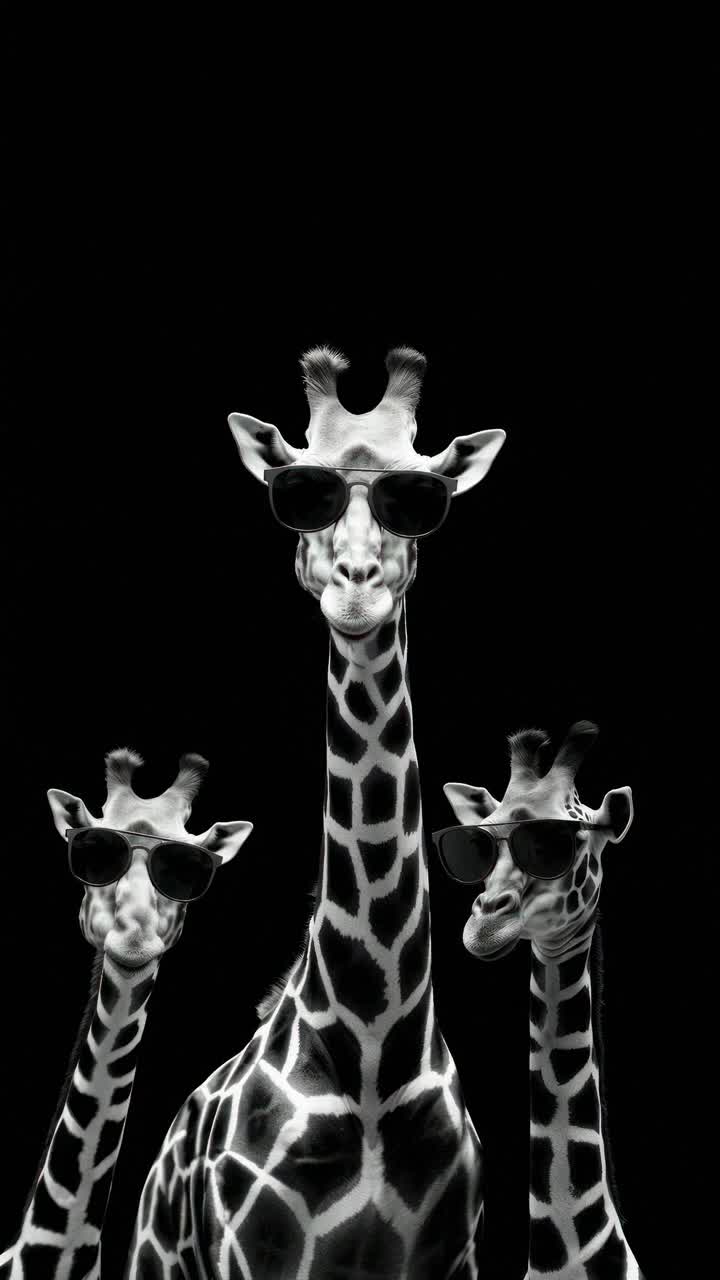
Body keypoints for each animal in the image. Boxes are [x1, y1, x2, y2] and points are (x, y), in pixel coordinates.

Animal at [125, 346, 506, 1278]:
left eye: (420, 496)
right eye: (302, 492)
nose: (356, 588)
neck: (371, 1051)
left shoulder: (453, 1256)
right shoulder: (254, 1254)